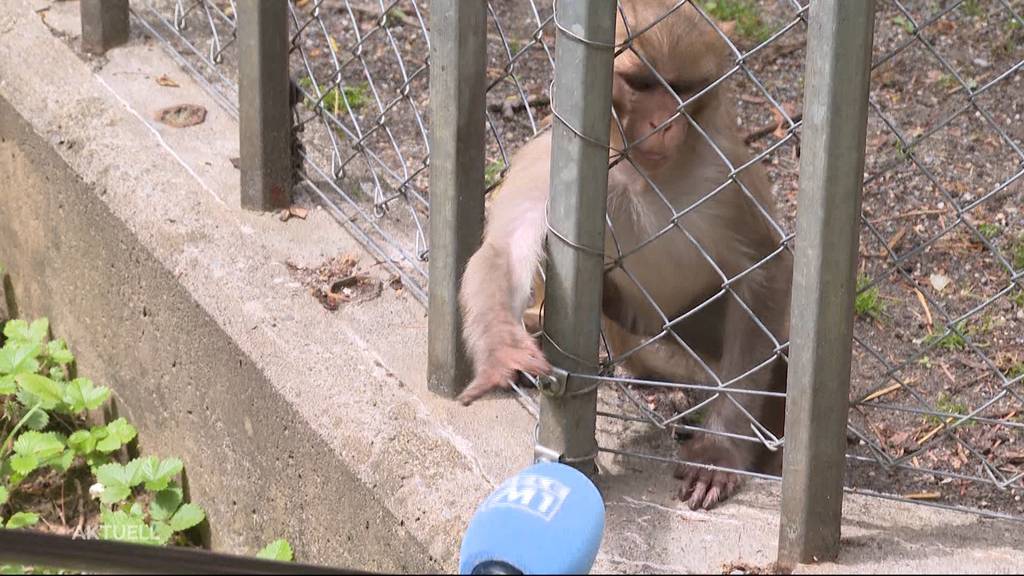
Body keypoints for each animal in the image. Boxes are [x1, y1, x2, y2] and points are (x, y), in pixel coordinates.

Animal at [460, 2, 794, 508]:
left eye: (683, 89)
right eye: (640, 83)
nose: (666, 123)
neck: (638, 173)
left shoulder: (724, 175)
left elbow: (764, 270)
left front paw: (719, 450)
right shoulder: (549, 162)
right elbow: (505, 249)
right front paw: (502, 349)